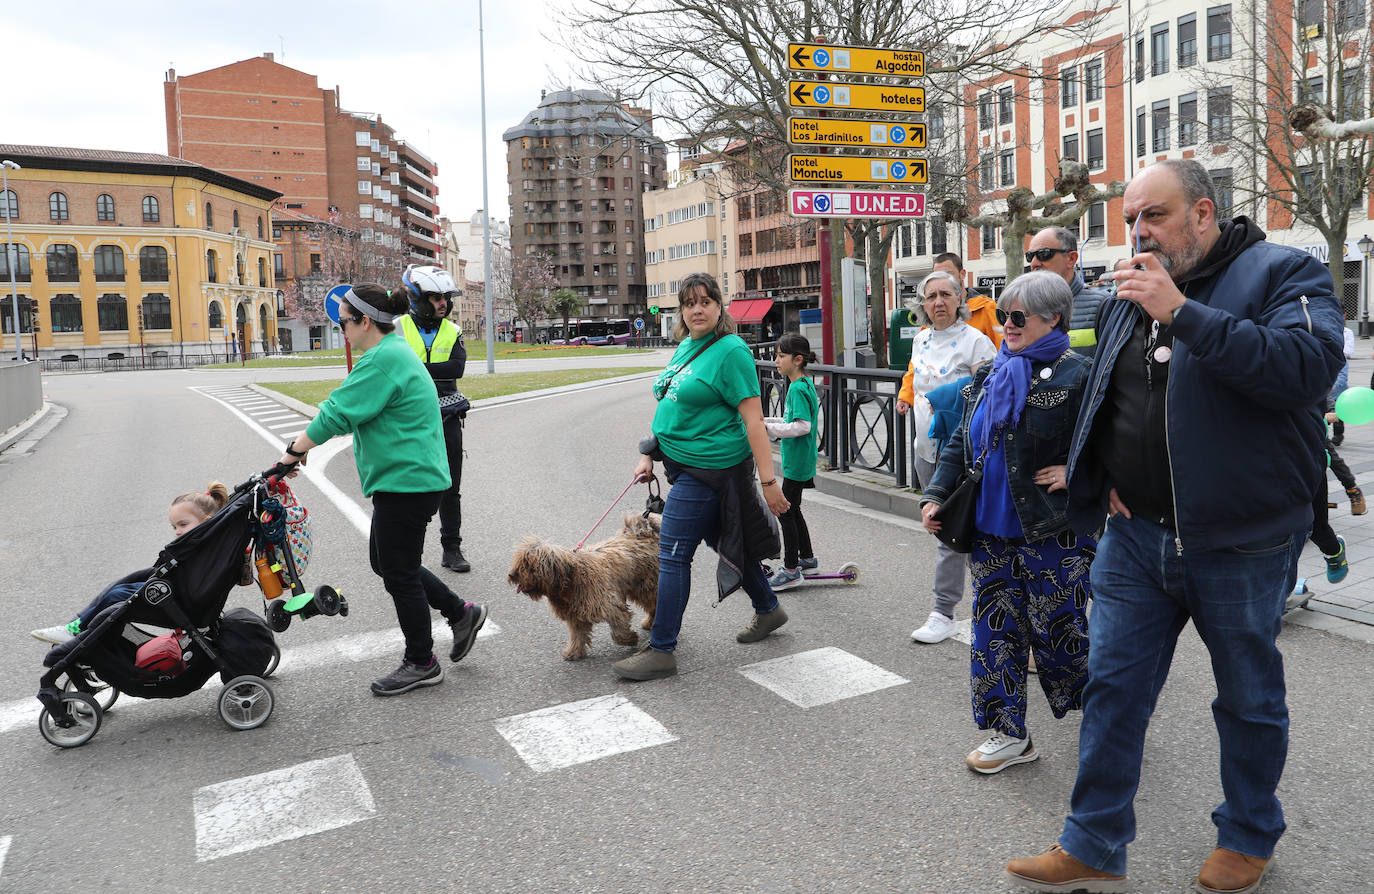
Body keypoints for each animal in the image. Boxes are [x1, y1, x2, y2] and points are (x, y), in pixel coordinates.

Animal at [511, 513, 659, 661]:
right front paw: (573, 651)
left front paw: (630, 639)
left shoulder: (610, 606)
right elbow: (578, 635)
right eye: (519, 561)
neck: (571, 580)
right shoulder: (575, 615)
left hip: (646, 587)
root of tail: (647, 534)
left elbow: (619, 630)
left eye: (529, 564)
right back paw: (650, 622)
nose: (512, 574)